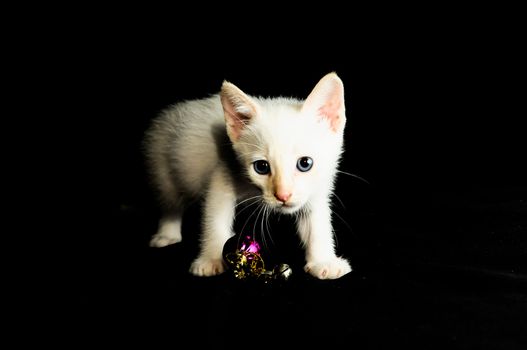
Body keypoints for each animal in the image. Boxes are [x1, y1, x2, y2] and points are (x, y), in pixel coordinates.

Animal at [142, 72, 352, 278]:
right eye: (261, 167)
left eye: (305, 163)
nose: (283, 195)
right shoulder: (223, 171)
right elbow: (215, 217)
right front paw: (210, 260)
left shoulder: (316, 188)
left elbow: (316, 221)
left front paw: (323, 261)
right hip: (159, 164)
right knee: (170, 202)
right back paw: (167, 234)